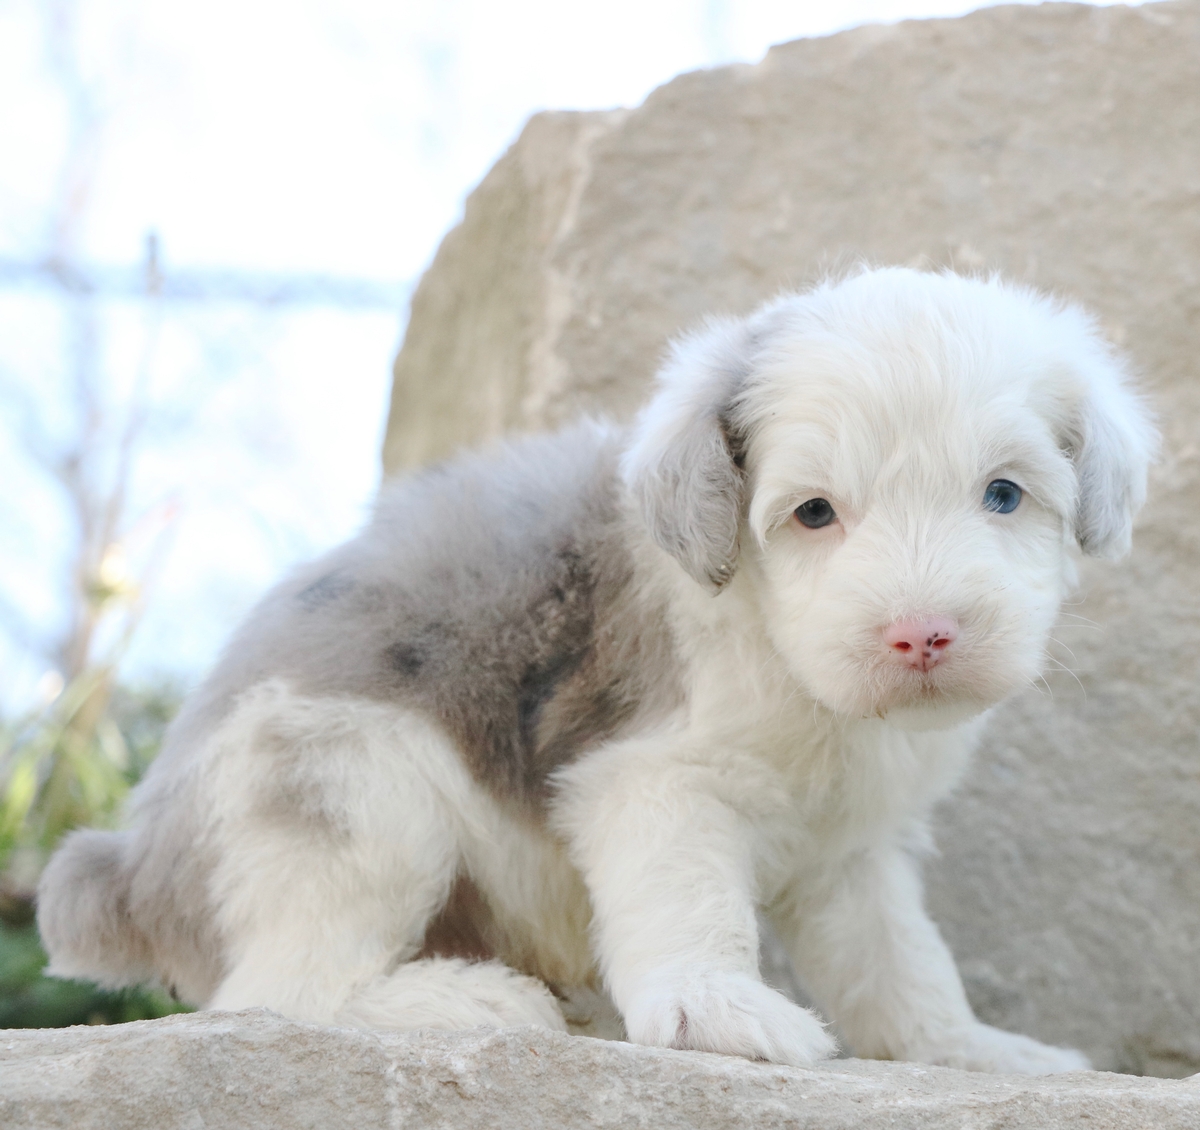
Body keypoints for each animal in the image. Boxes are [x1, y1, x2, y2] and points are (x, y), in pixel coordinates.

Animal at [38, 267, 1154, 1072]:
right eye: (814, 512)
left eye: (1003, 495)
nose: (923, 633)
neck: (790, 667)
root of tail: (134, 865)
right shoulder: (656, 780)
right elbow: (689, 902)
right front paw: (719, 1011)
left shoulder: (852, 849)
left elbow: (898, 959)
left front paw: (972, 1050)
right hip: (354, 794)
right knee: (281, 991)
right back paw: (471, 997)